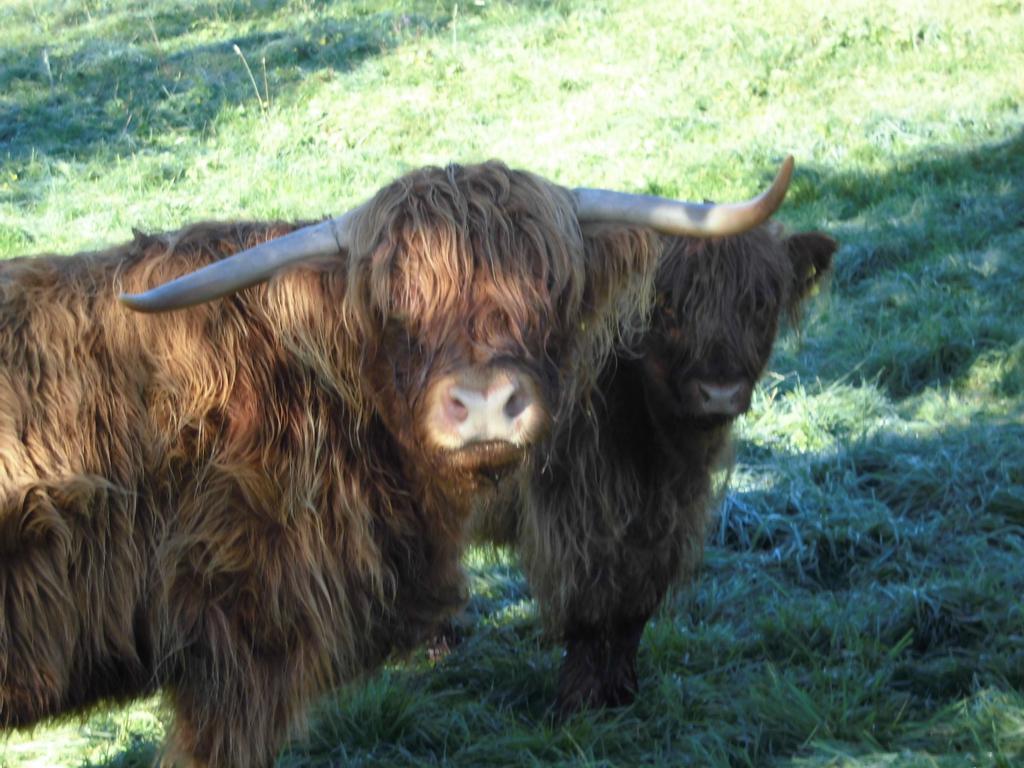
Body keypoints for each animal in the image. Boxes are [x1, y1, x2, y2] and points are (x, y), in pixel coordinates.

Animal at [468, 219, 831, 720]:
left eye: (758, 303)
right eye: (665, 304)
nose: (719, 392)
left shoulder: (669, 522)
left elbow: (635, 609)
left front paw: (623, 694)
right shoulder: (570, 516)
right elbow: (586, 611)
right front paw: (577, 706)